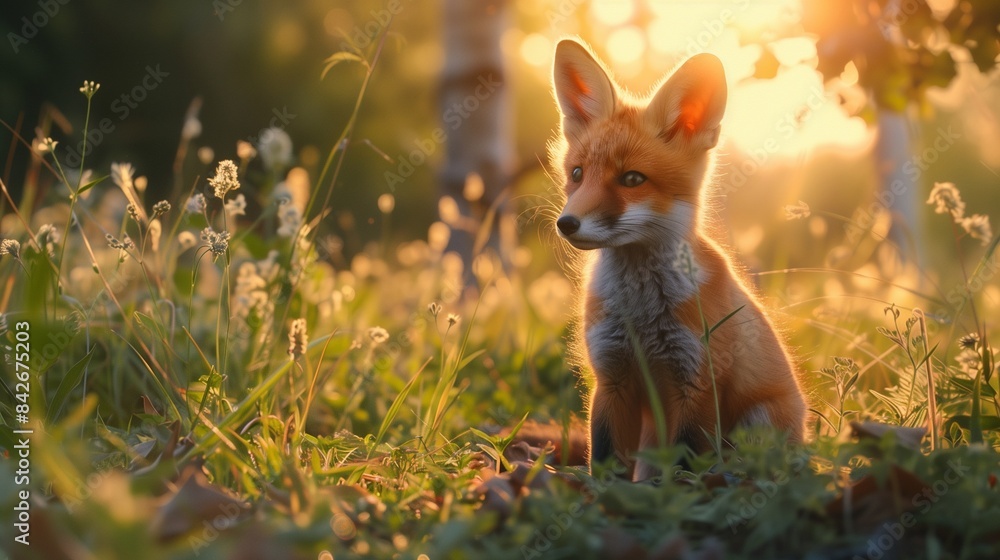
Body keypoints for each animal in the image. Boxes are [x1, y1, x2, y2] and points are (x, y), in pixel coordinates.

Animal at [550, 38, 806, 481]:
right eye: (578, 174)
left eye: (632, 179)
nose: (567, 224)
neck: (641, 314)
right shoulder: (611, 377)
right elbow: (605, 461)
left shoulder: (697, 380)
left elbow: (686, 467)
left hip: (756, 425)